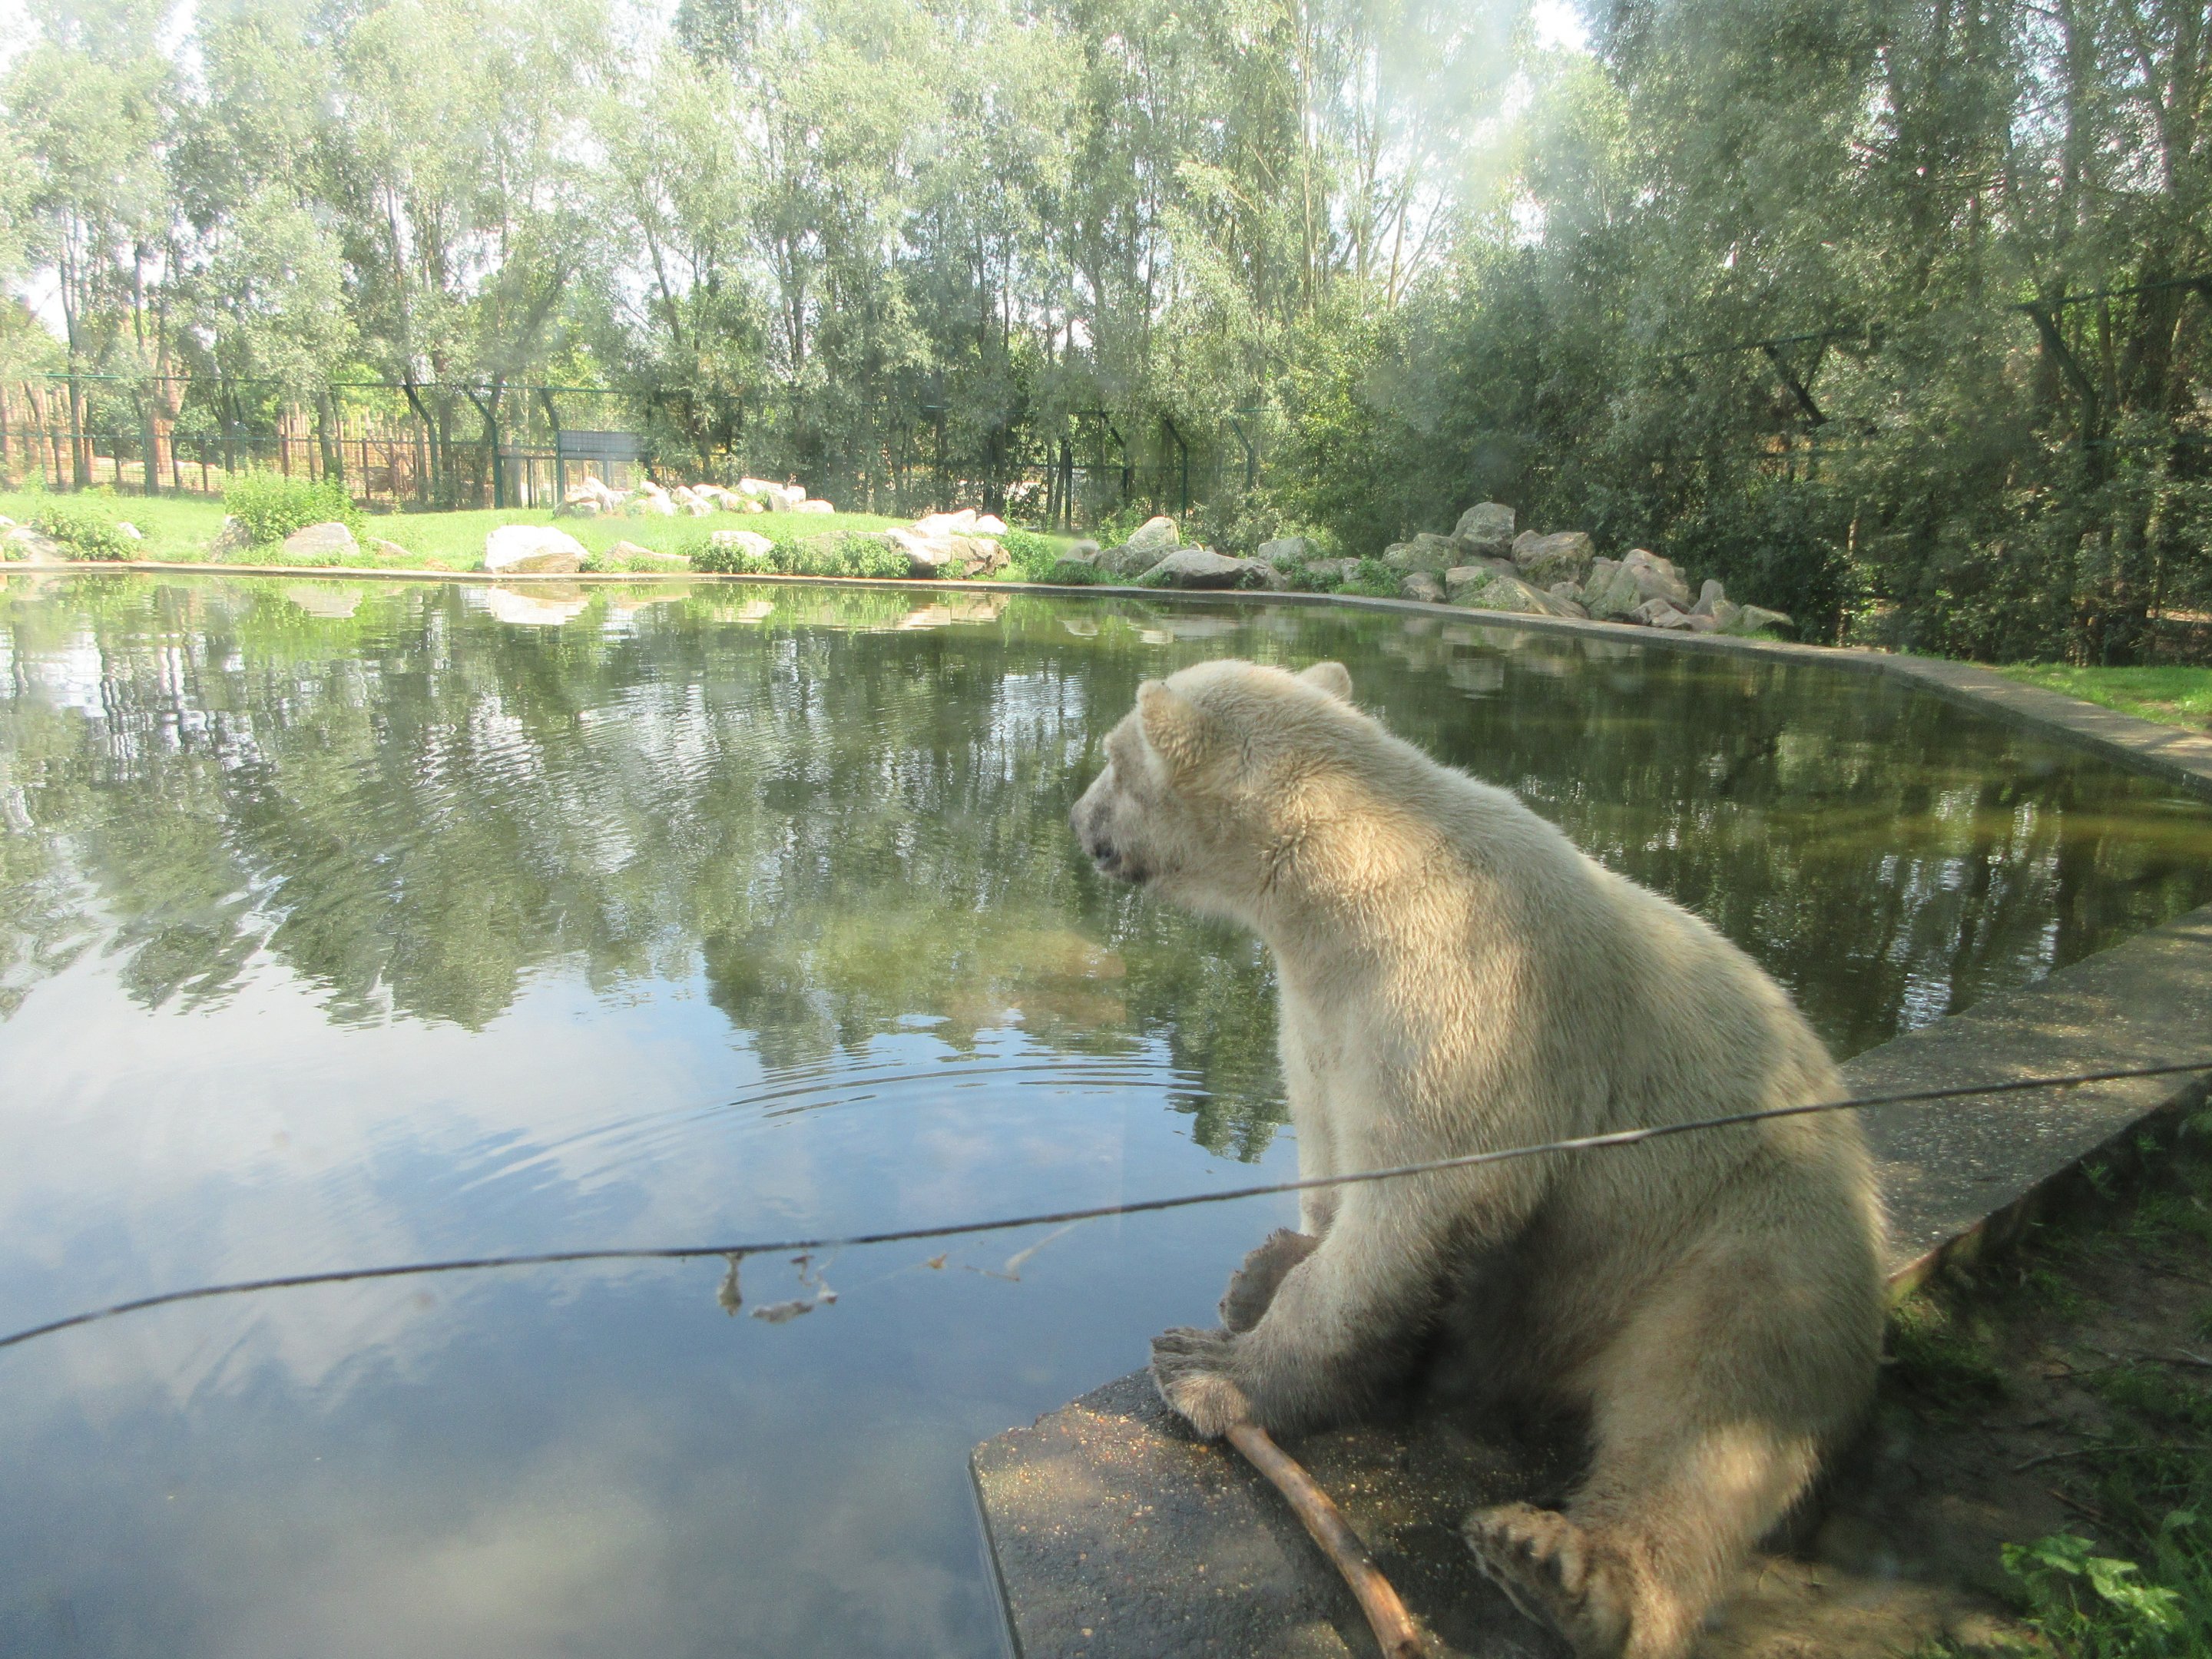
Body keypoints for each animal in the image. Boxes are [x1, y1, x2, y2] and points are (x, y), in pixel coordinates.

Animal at [1069, 658, 1885, 1659]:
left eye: (1113, 760)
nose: (1078, 818)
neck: (1359, 876)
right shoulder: (1324, 1007)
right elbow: (1332, 1131)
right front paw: (1265, 1267)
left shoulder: (1463, 998)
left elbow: (1419, 1194)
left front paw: (1215, 1368)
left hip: (1745, 1231)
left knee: (1714, 1396)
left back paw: (1565, 1571)